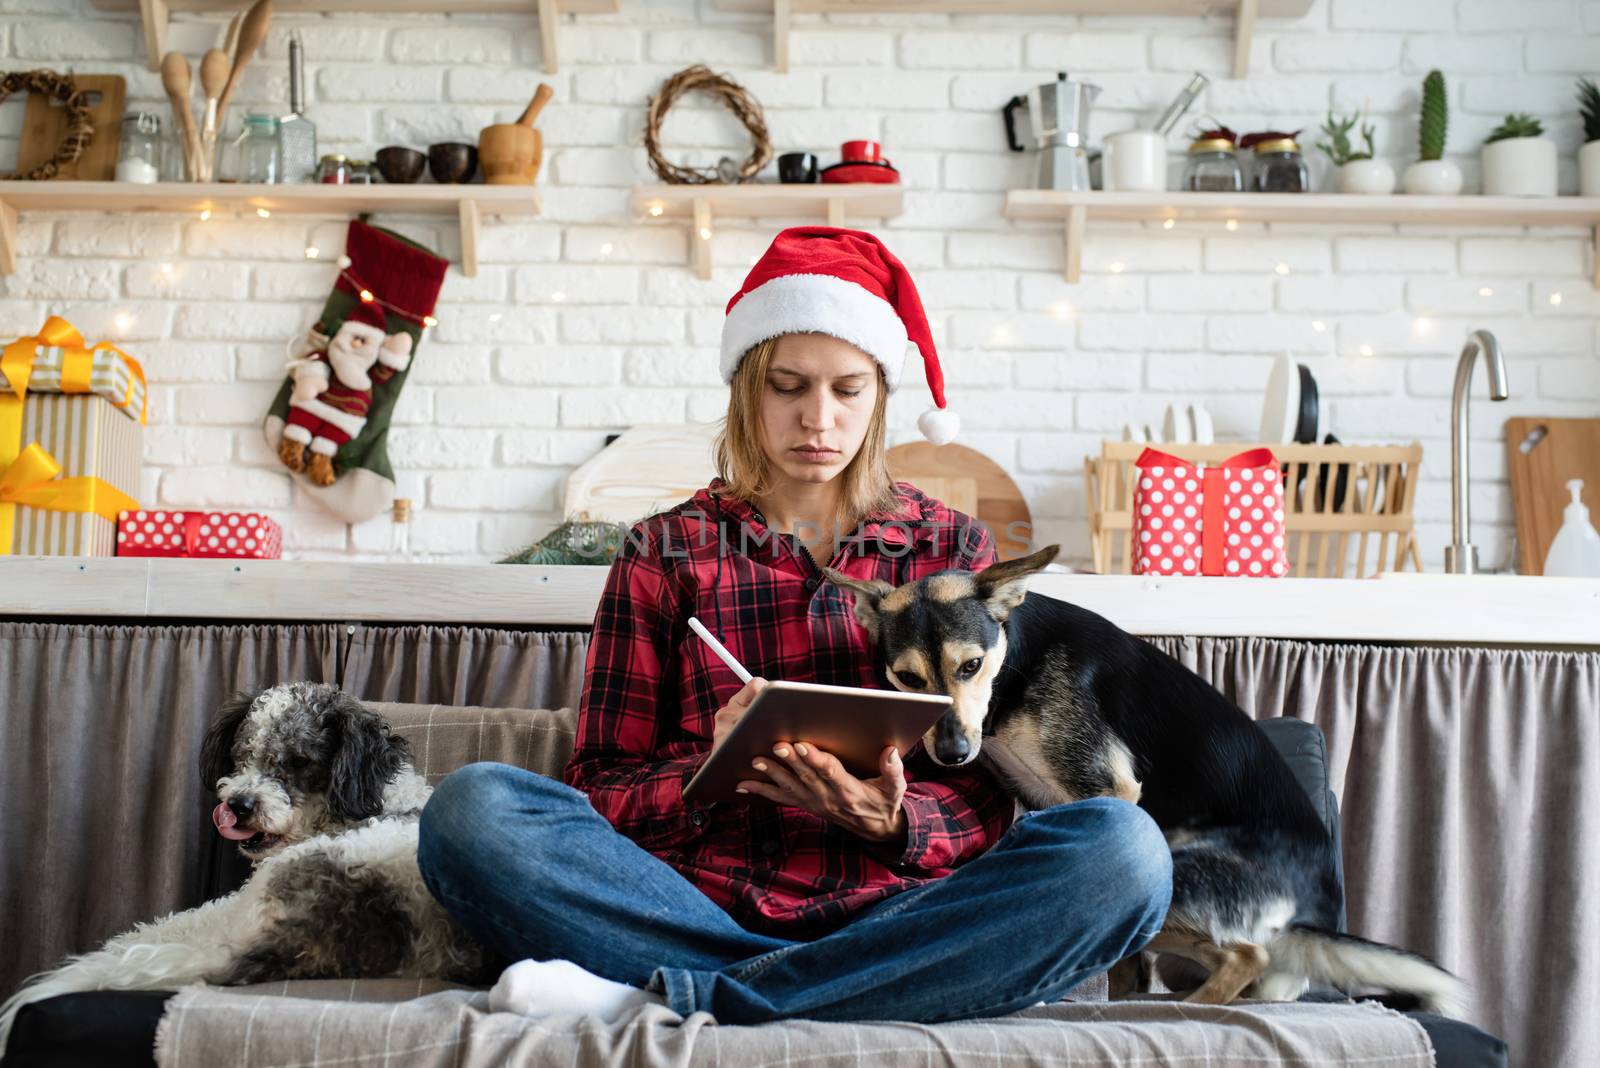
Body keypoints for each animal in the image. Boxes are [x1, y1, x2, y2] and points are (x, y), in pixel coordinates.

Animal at [825, 549, 1465, 1016]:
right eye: (907, 679)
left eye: (970, 666)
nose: (954, 753)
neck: (1017, 661)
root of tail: (1315, 913)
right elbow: (1120, 954)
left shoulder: (1109, 789)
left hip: (1175, 870)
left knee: (1246, 957)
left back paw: (1190, 1006)